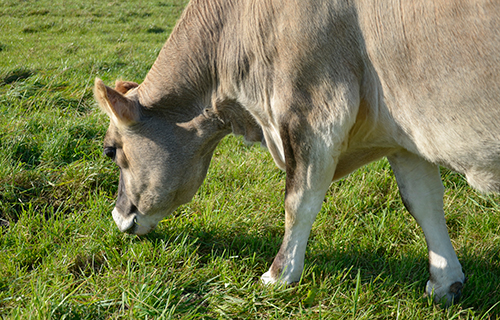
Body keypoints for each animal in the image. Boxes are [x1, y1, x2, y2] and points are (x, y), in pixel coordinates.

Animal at [94, 0, 500, 304]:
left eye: (110, 150)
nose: (118, 216)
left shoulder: (313, 111)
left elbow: (298, 200)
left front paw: (280, 274)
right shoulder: (404, 133)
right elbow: (423, 202)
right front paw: (445, 281)